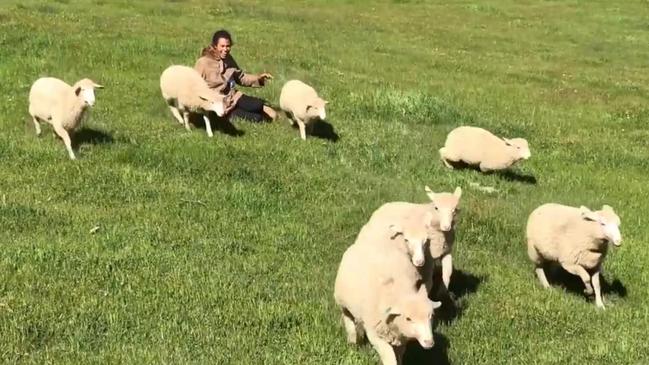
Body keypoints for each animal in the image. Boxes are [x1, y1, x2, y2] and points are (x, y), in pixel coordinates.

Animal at [334, 233, 440, 364]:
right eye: (408, 319)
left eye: (431, 316)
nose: (429, 342)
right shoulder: (375, 334)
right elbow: (389, 356)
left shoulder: (401, 337)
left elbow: (399, 355)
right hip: (343, 304)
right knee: (348, 319)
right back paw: (352, 342)